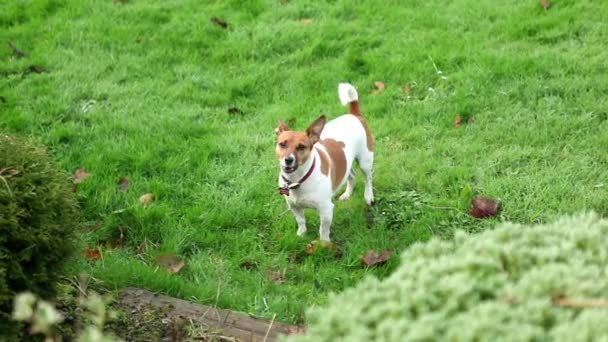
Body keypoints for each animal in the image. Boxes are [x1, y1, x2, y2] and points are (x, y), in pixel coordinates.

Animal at [276, 83, 376, 242]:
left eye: (301, 147)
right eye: (282, 144)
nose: (288, 159)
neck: (299, 179)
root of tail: (354, 115)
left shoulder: (326, 210)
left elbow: (323, 230)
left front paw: (324, 244)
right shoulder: (294, 206)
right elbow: (301, 220)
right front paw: (301, 234)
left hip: (365, 160)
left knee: (368, 179)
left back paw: (368, 196)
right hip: (346, 162)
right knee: (351, 175)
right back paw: (347, 194)